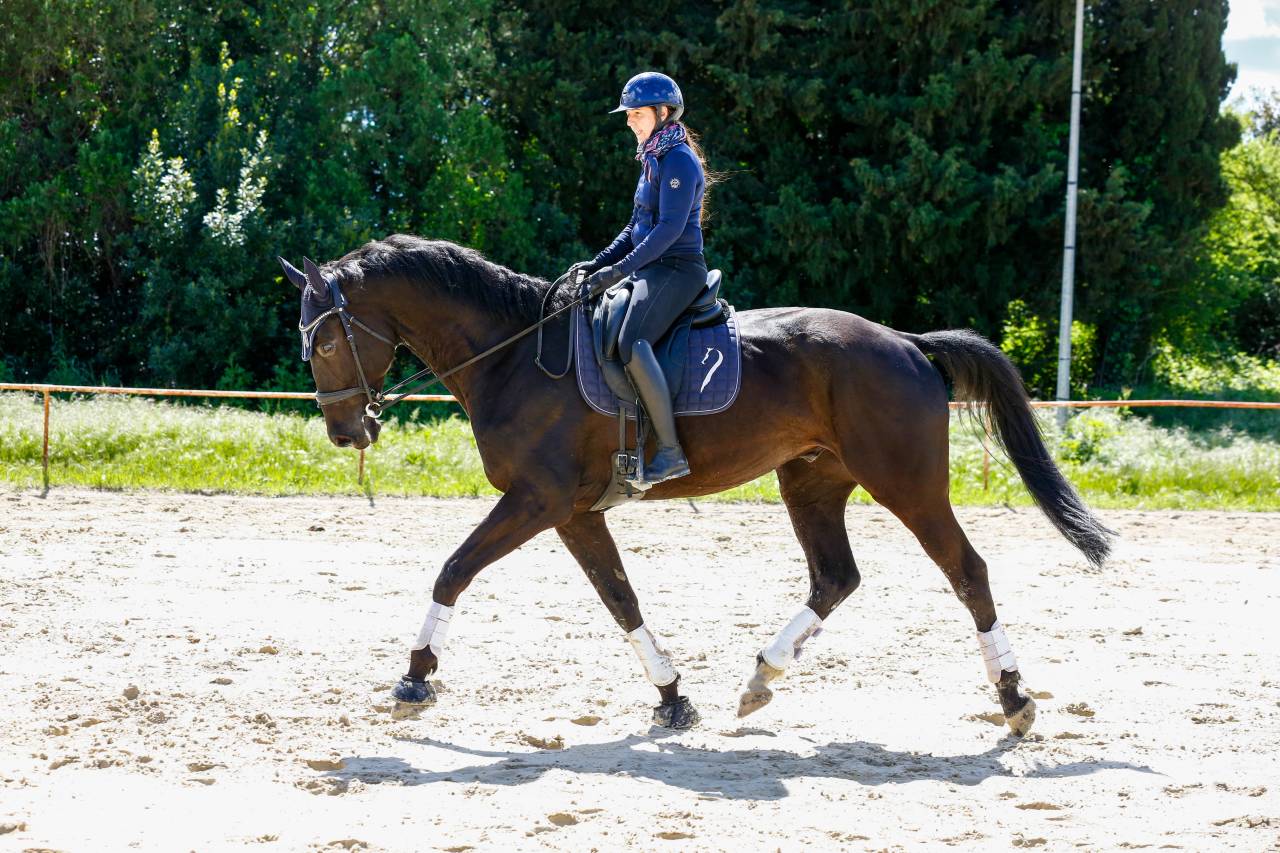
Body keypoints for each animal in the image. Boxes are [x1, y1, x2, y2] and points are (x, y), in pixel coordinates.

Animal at [279, 233, 1112, 736]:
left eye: (326, 340)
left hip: (906, 484)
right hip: (811, 482)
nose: (346, 431)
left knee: (967, 571)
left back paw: (1014, 697)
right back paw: (761, 676)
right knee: (835, 576)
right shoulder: (572, 511)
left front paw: (416, 675)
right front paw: (673, 695)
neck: (514, 353)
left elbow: (453, 569)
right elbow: (620, 598)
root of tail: (904, 342)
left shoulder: (536, 500)